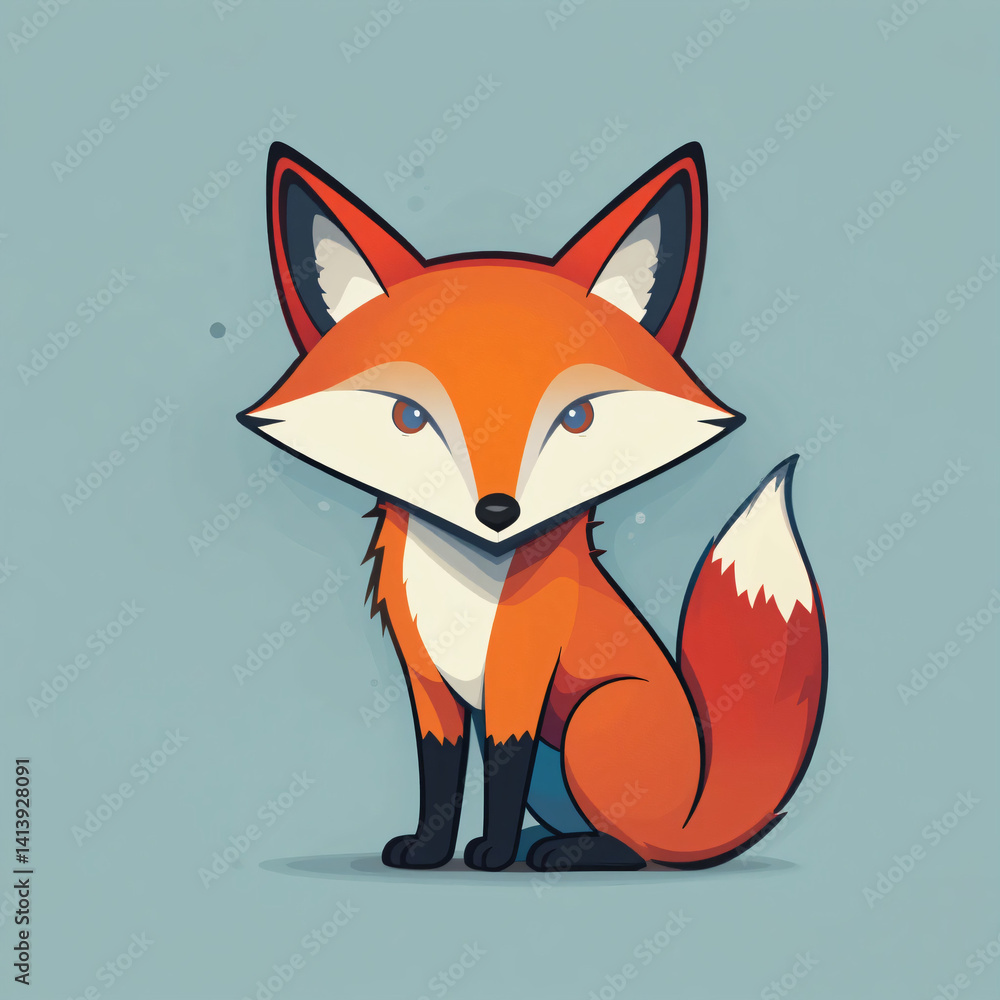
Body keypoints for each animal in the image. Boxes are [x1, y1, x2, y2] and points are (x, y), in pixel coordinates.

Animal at [238, 140, 828, 872]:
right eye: (409, 418)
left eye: (576, 418)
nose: (497, 513)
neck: (462, 586)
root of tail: (698, 809)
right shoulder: (428, 681)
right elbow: (440, 774)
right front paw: (431, 850)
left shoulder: (519, 680)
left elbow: (501, 770)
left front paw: (489, 854)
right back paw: (545, 842)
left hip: (589, 722)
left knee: (635, 850)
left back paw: (562, 852)